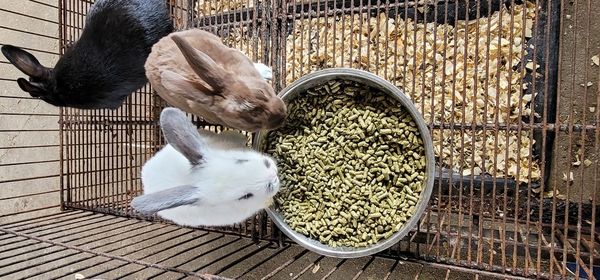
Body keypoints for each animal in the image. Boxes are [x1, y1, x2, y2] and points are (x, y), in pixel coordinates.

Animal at [130, 106, 280, 226]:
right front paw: (270, 201)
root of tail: (145, 172)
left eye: (240, 160)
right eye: (245, 196)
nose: (273, 176)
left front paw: (241, 137)